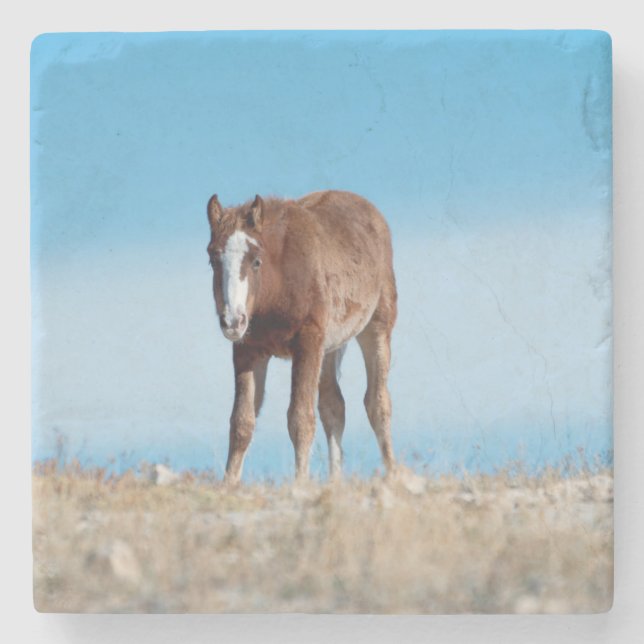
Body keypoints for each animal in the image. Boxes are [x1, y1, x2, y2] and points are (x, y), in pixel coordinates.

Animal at [206, 190, 397, 483]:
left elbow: (300, 418)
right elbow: (241, 423)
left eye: (256, 261)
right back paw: (334, 482)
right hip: (329, 346)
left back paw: (394, 475)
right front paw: (228, 485)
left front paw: (300, 484)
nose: (232, 321)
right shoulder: (247, 350)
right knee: (333, 405)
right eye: (213, 260)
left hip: (376, 327)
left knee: (378, 402)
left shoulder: (307, 342)